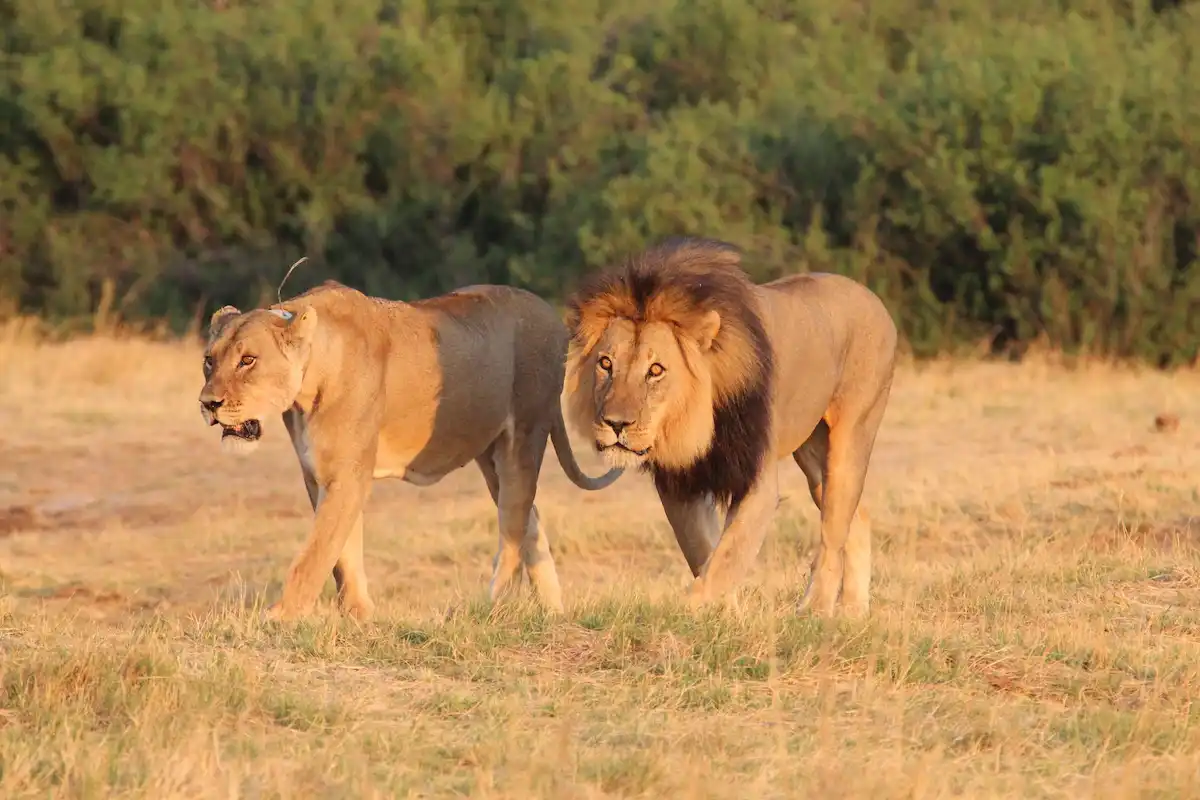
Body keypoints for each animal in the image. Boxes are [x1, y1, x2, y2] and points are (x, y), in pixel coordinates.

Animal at [198, 284, 624, 623]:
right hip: (491, 457)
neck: (310, 377)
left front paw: (281, 616)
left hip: (524, 437)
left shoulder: (348, 474)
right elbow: (343, 552)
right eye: (208, 360)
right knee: (531, 522)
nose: (208, 404)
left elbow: (316, 553)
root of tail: (552, 315)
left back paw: (491, 608)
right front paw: (359, 615)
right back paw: (553, 614)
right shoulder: (319, 475)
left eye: (248, 360)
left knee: (514, 531)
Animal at [566, 235, 897, 618]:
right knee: (856, 519)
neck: (696, 422)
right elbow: (704, 551)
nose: (615, 423)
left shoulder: (756, 480)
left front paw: (687, 611)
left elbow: (726, 557)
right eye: (606, 364)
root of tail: (872, 297)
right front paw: (725, 614)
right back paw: (854, 611)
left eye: (655, 370)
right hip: (814, 457)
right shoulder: (681, 483)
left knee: (833, 533)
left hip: (852, 436)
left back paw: (814, 611)